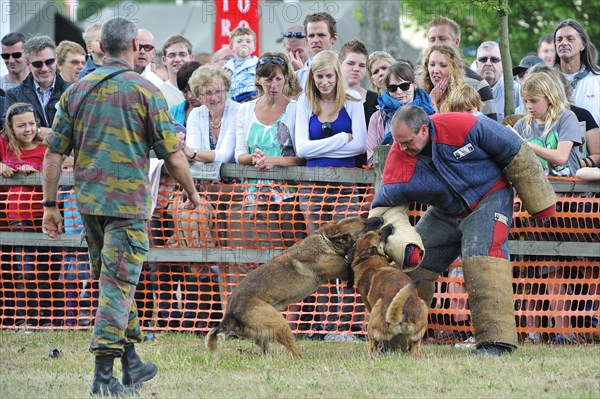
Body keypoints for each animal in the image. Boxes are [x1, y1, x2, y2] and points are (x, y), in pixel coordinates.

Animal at [205, 217, 384, 358]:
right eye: (365, 224)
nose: (382, 219)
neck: (327, 241)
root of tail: (230, 311)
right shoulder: (343, 270)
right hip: (280, 323)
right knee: (293, 349)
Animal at [352, 223, 432, 358]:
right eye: (379, 234)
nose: (390, 225)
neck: (368, 258)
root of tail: (400, 316)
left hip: (373, 317)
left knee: (373, 347)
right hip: (422, 309)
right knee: (414, 349)